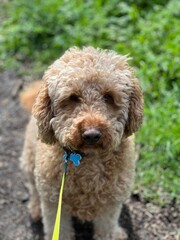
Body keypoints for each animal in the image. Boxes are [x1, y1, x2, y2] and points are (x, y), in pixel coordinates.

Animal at [20, 47, 143, 240]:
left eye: (109, 96)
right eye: (73, 97)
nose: (91, 135)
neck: (89, 160)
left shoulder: (110, 205)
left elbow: (106, 229)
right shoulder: (53, 204)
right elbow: (59, 231)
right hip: (29, 162)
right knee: (33, 189)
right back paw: (35, 209)